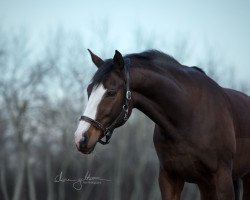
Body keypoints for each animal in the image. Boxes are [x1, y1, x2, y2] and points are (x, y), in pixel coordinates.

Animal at [74, 50, 250, 200]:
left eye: (111, 92)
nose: (80, 138)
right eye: (89, 90)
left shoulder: (222, 179)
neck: (188, 118)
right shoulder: (170, 179)